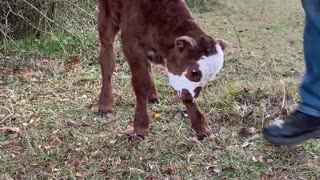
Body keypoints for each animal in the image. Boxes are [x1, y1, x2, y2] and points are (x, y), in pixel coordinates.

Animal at [99, 0, 229, 139]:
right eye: (194, 72)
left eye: (210, 77)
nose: (191, 97)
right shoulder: (132, 44)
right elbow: (142, 84)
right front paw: (140, 127)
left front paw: (201, 128)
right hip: (107, 17)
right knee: (107, 55)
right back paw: (105, 105)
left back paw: (153, 96)